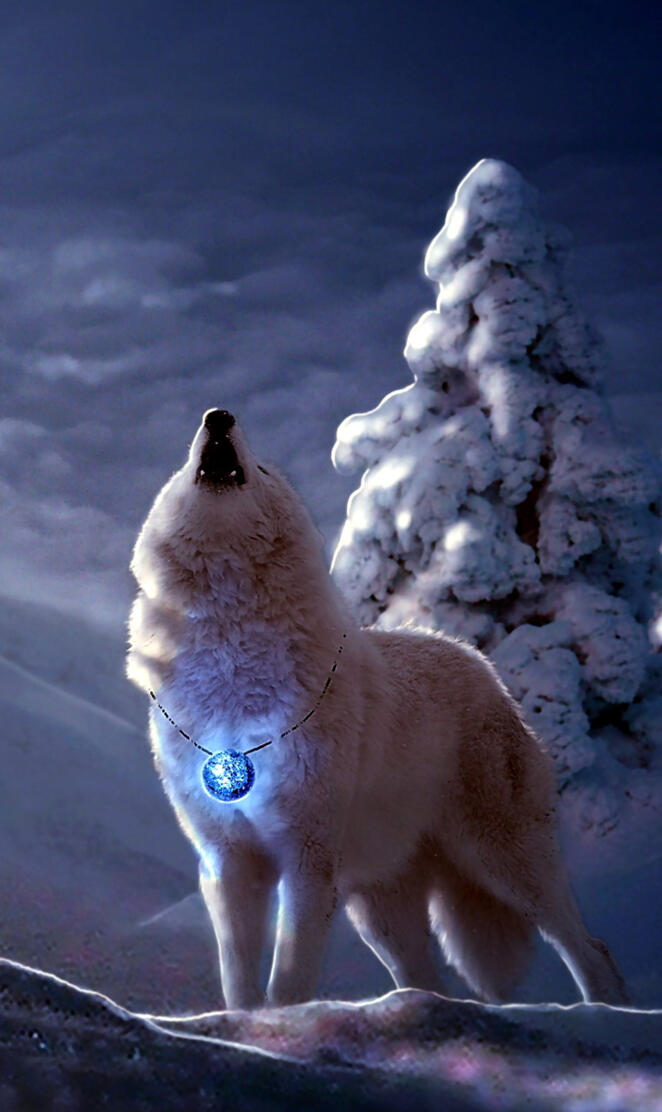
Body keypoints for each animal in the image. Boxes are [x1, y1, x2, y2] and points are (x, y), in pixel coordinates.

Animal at [127, 408, 629, 1009]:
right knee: (429, 982)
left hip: (502, 862)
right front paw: (242, 1027)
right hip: (381, 912)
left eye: (263, 468)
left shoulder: (308, 859)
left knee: (591, 948)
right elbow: (240, 985)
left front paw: (283, 1026)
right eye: (190, 459)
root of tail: (480, 664)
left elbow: (288, 982)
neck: (231, 665)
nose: (218, 417)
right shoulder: (228, 863)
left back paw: (608, 1011)